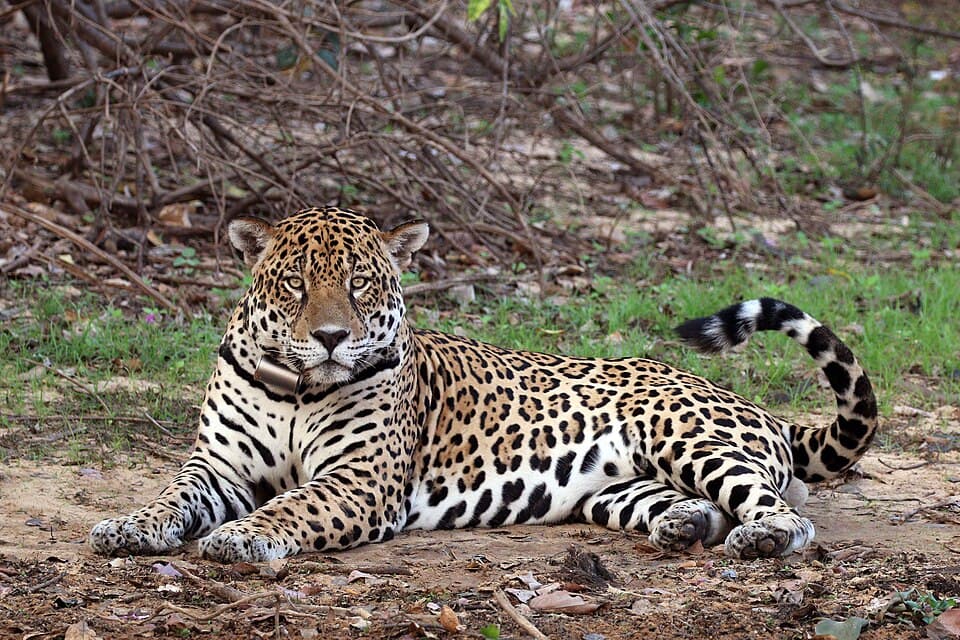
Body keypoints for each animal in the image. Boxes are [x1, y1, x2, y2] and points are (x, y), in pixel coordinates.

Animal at [89, 206, 878, 563]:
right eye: (295, 285)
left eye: (360, 283)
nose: (332, 337)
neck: (297, 385)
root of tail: (763, 411)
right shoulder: (217, 467)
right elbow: (171, 496)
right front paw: (128, 526)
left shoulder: (358, 482)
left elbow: (291, 506)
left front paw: (240, 536)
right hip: (621, 488)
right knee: (700, 506)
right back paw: (686, 525)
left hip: (690, 439)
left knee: (788, 514)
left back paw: (757, 540)